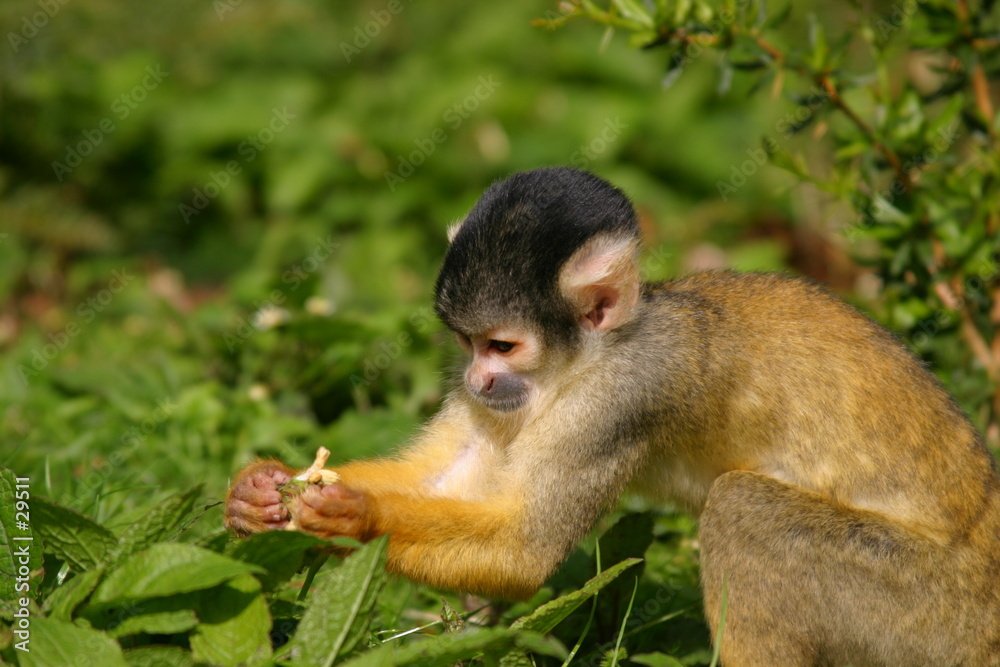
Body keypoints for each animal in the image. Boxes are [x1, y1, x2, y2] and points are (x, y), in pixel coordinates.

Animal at [225, 167, 1000, 665]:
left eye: (502, 344)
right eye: (467, 344)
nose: (476, 378)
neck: (589, 361)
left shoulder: (624, 396)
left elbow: (523, 550)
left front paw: (354, 516)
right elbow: (457, 481)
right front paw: (259, 493)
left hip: (922, 611)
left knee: (742, 510)